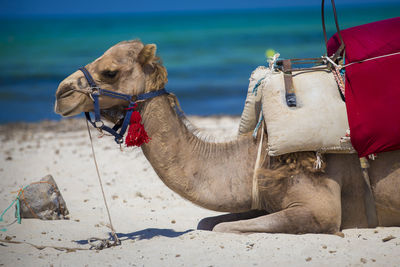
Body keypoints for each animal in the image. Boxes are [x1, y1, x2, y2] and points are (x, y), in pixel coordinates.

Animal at [54, 39, 400, 234]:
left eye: (110, 72)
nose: (61, 93)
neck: (256, 157)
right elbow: (206, 223)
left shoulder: (321, 208)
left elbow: (223, 227)